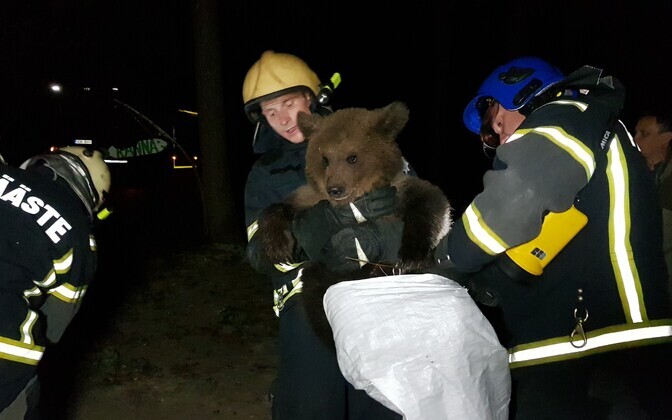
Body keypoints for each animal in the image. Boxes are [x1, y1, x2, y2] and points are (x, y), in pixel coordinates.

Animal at [257, 101, 453, 347]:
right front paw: (277, 247)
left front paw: (412, 256)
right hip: (323, 274)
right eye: (325, 158)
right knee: (315, 293)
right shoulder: (309, 199)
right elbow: (280, 209)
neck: (354, 201)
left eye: (352, 157)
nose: (335, 188)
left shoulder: (398, 192)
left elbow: (432, 202)